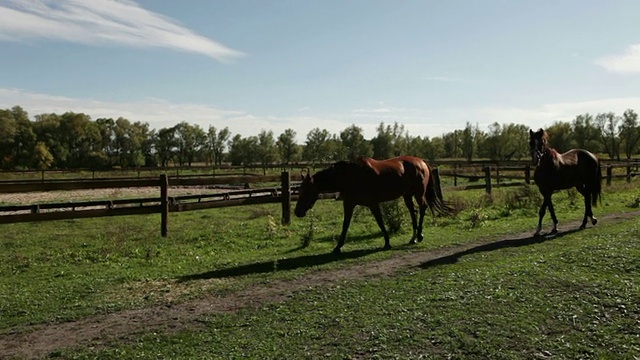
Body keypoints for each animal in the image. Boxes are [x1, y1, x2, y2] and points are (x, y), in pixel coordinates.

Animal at [294, 156, 450, 255]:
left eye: (306, 191)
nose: (297, 212)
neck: (351, 176)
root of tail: (421, 161)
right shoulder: (349, 204)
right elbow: (345, 225)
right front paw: (338, 247)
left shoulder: (372, 203)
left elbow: (380, 222)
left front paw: (387, 242)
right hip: (407, 196)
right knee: (413, 212)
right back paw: (413, 238)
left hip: (418, 193)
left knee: (422, 208)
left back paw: (420, 235)